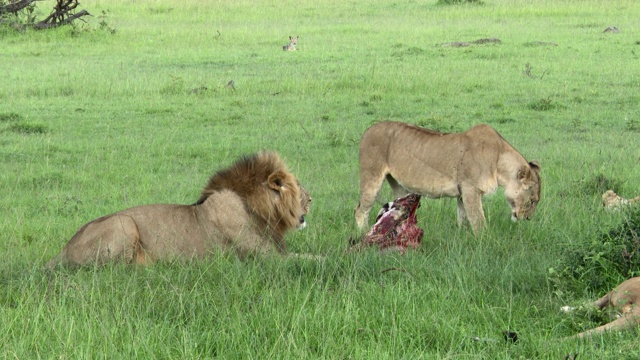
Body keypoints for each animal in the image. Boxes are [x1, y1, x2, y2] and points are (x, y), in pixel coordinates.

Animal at [46, 151, 312, 268]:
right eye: (299, 187)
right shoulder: (266, 257)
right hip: (124, 224)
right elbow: (311, 259)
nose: (312, 199)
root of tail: (63, 250)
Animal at [356, 121, 540, 233]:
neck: (499, 159)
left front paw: (462, 235)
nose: (528, 219)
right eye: (532, 201)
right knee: (360, 210)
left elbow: (463, 217)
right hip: (372, 178)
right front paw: (485, 241)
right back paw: (364, 233)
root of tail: (368, 129)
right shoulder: (471, 189)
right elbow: (478, 221)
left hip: (400, 187)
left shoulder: (463, 192)